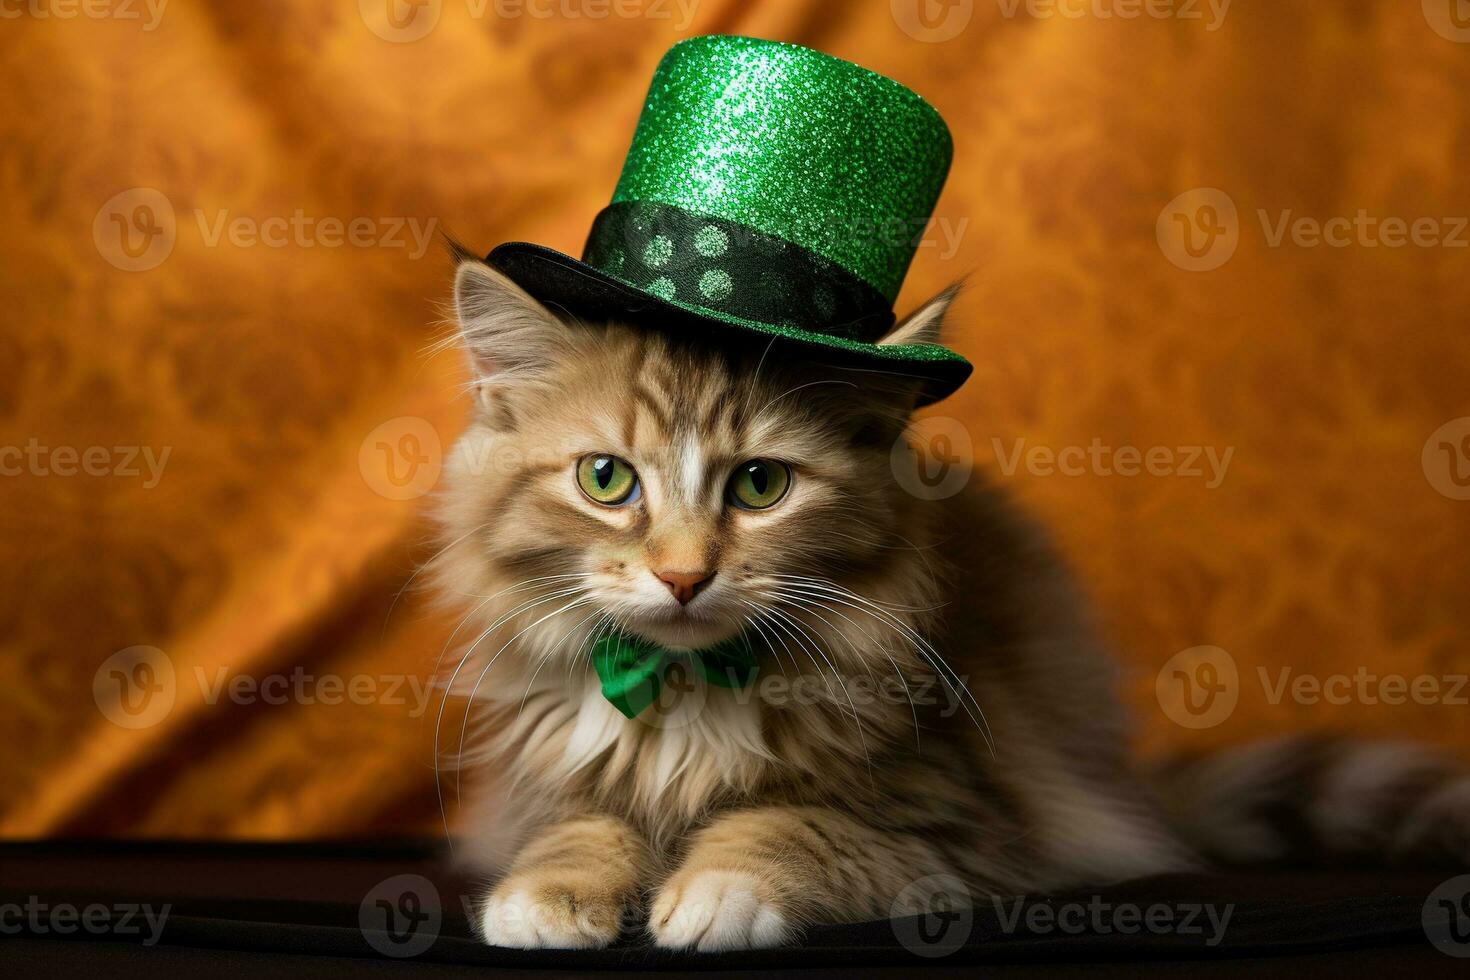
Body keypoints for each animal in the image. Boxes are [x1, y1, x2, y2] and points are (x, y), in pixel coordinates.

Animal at [429, 252, 1470, 952]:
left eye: (760, 486)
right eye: (607, 479)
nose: (685, 576)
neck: (690, 687)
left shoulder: (955, 822)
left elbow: (794, 826)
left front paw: (720, 891)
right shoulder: (539, 787)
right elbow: (576, 829)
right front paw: (546, 897)